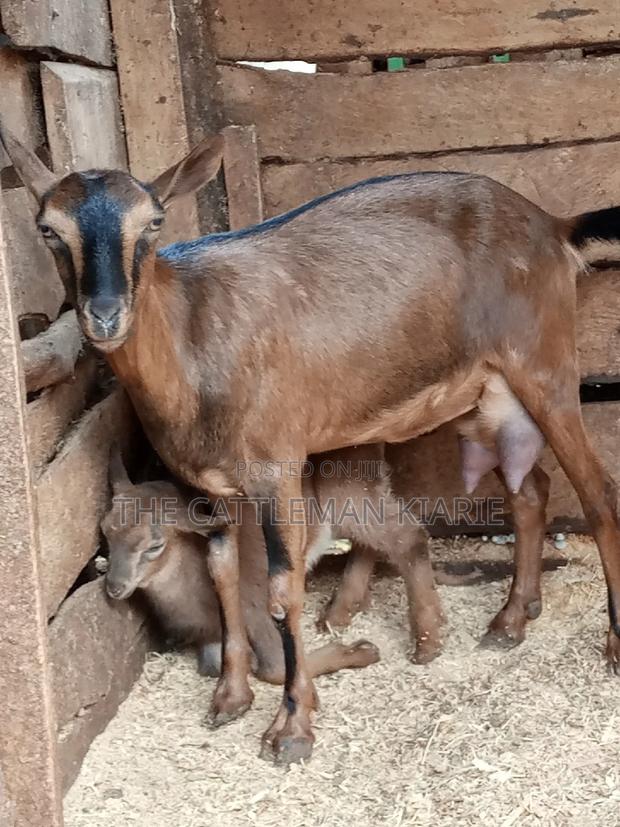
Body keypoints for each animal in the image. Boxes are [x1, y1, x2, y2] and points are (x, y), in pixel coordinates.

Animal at [101, 449, 381, 689]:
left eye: (155, 545)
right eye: (105, 530)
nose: (114, 586)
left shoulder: (260, 611)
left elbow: (276, 669)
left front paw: (360, 650)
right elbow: (213, 666)